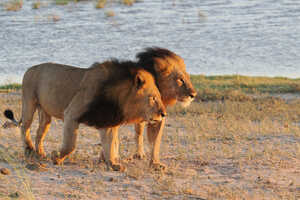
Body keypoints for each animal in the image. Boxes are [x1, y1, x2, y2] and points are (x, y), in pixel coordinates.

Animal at [4, 59, 166, 170]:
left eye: (159, 97)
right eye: (153, 98)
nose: (164, 113)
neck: (118, 97)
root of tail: (30, 68)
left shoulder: (107, 122)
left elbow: (110, 144)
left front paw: (113, 164)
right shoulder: (71, 114)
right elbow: (70, 145)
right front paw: (56, 158)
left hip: (45, 113)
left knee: (40, 132)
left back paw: (40, 153)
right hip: (29, 102)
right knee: (25, 127)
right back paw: (29, 150)